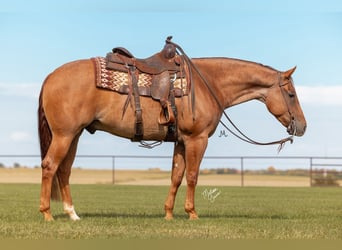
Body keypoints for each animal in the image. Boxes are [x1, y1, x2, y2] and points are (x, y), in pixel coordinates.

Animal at [38, 45, 308, 221]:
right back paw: (47, 214)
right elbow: (192, 176)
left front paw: (168, 213)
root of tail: (51, 76)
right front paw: (192, 213)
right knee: (50, 166)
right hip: (64, 135)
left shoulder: (181, 141)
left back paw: (72, 214)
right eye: (291, 94)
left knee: (64, 170)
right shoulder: (197, 139)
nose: (303, 126)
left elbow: (176, 176)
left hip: (74, 135)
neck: (207, 84)